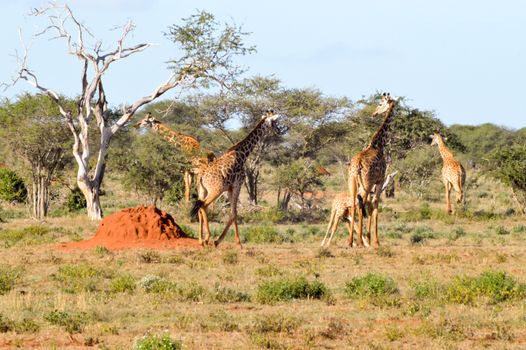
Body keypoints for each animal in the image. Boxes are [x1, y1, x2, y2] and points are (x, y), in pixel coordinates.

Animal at [192, 110, 282, 247]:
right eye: (274, 122)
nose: (279, 131)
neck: (242, 154)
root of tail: (201, 176)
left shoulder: (230, 188)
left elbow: (232, 212)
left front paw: (219, 241)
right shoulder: (237, 185)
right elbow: (235, 213)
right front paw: (236, 243)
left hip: (202, 190)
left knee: (199, 207)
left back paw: (201, 240)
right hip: (216, 190)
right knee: (203, 206)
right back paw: (207, 238)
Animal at [348, 91, 402, 247]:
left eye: (379, 103)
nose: (374, 113)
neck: (378, 144)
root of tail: (358, 164)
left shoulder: (374, 183)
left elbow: (370, 205)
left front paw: (369, 238)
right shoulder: (380, 180)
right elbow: (375, 204)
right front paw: (375, 240)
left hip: (352, 183)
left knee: (354, 204)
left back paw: (350, 241)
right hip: (366, 184)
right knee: (361, 204)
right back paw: (360, 241)